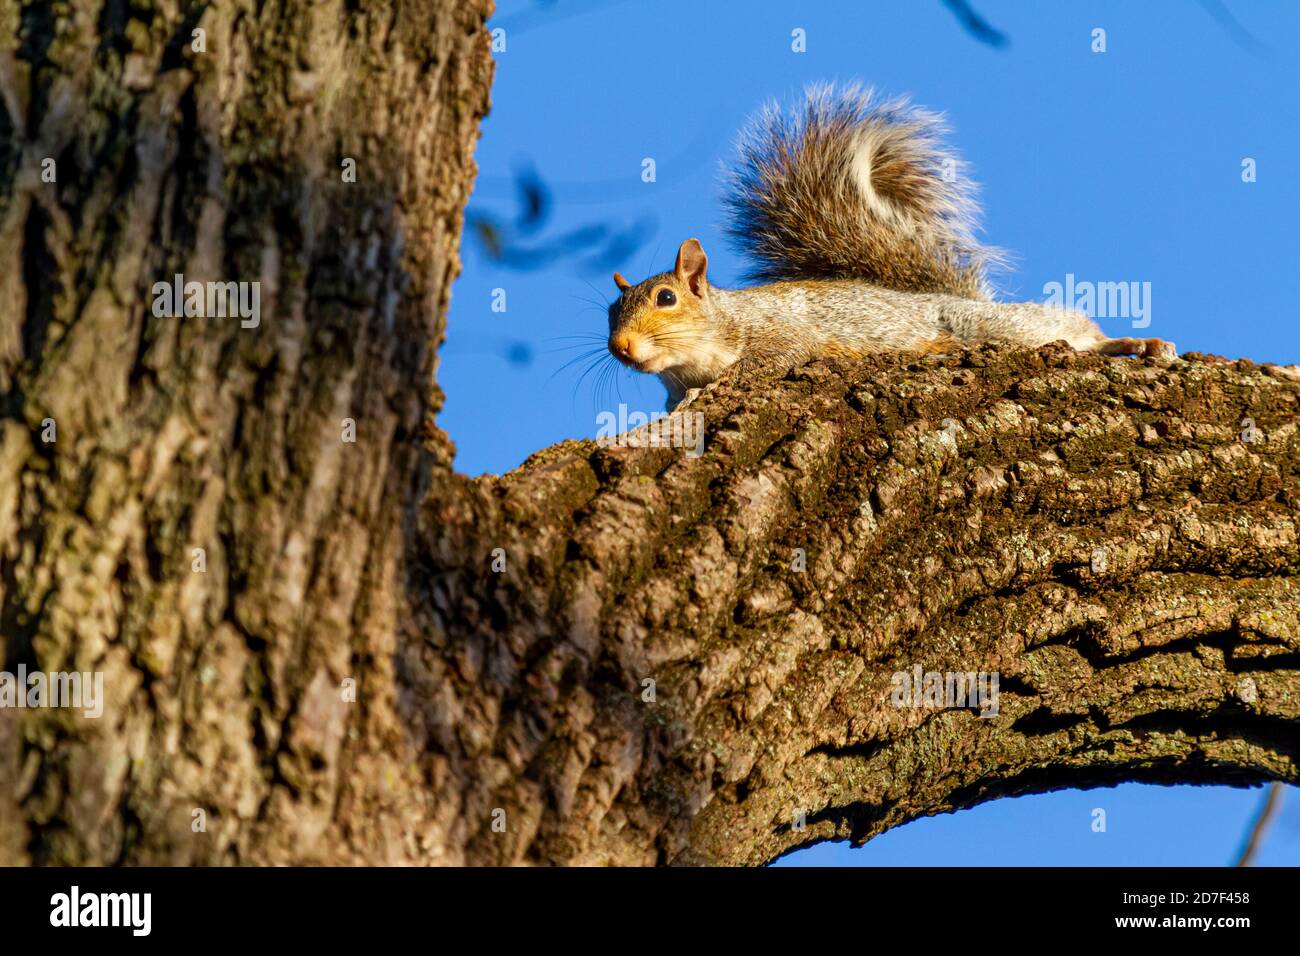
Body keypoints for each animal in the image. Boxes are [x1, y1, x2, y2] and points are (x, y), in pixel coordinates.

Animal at [606, 84, 1175, 410]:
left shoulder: (779, 332)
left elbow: (771, 359)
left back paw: (1133, 343)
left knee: (1073, 329)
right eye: (610, 312)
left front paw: (712, 389)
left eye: (665, 298)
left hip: (995, 329)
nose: (620, 347)